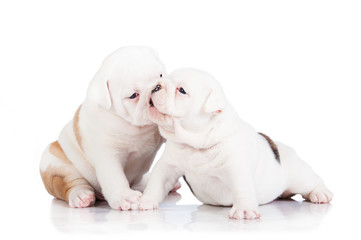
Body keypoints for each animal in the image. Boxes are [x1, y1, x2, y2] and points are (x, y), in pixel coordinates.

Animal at [40, 45, 167, 210]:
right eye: (133, 95)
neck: (137, 127)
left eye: (161, 75)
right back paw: (81, 195)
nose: (156, 87)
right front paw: (125, 197)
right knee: (71, 184)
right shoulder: (108, 154)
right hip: (55, 165)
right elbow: (114, 177)